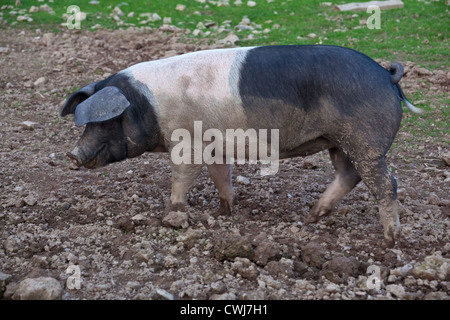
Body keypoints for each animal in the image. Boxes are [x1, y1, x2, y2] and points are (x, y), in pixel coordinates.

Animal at [60, 44, 422, 248]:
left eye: (104, 121)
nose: (71, 155)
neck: (144, 105)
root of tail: (386, 75)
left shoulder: (186, 140)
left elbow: (183, 177)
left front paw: (170, 218)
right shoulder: (212, 143)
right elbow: (221, 175)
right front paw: (225, 211)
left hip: (364, 140)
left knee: (385, 183)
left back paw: (391, 241)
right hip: (339, 143)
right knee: (350, 175)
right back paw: (311, 218)